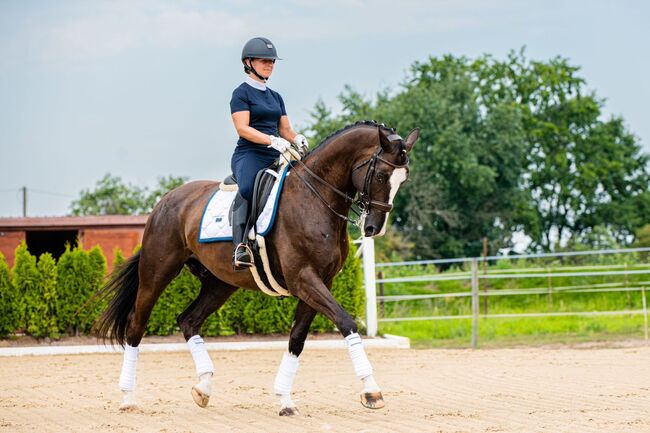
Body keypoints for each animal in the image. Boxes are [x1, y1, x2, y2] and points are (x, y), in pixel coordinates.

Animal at [93, 120, 418, 416]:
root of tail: (165, 201)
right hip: (156, 272)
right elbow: (346, 322)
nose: (374, 228)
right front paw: (371, 391)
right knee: (136, 325)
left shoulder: (319, 282)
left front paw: (285, 399)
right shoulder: (304, 279)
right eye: (381, 174)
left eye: (404, 179)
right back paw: (128, 397)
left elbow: (297, 338)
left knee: (188, 320)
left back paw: (203, 388)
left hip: (220, 283)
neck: (315, 199)